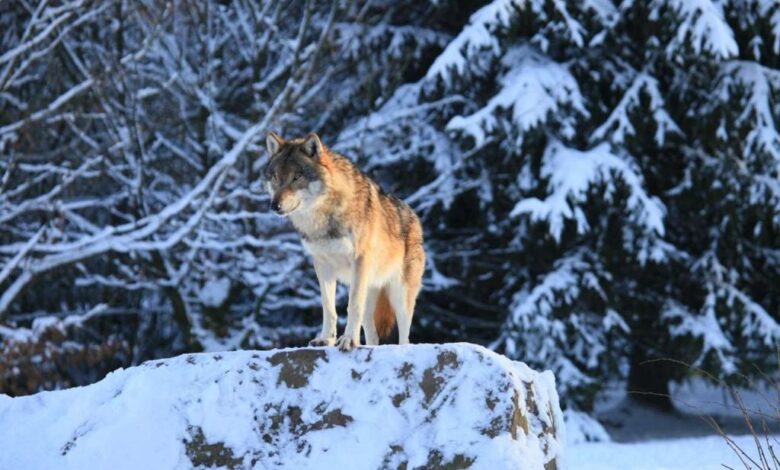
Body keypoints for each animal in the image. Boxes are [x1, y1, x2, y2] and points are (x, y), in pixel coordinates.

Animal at [264, 130, 426, 350]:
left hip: (400, 295)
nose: (275, 205)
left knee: (404, 334)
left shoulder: (359, 261)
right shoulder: (322, 265)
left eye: (297, 177)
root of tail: (415, 218)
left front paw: (348, 340)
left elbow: (352, 305)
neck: (323, 217)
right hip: (371, 295)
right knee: (373, 335)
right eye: (275, 177)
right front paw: (326, 339)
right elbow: (328, 307)